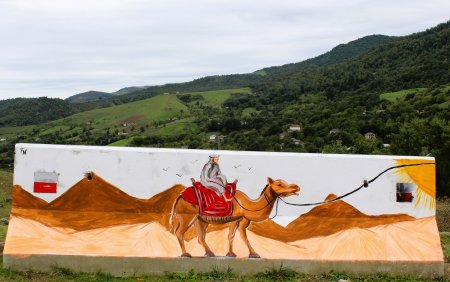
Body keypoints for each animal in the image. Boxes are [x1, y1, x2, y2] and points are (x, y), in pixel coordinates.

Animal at [171, 177, 300, 258]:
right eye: (279, 184)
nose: (296, 187)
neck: (248, 205)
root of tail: (180, 197)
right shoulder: (237, 219)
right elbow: (237, 236)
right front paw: (246, 254)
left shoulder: (240, 220)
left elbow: (237, 236)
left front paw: (240, 254)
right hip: (188, 216)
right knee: (179, 232)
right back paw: (186, 254)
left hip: (199, 219)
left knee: (200, 237)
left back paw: (209, 253)